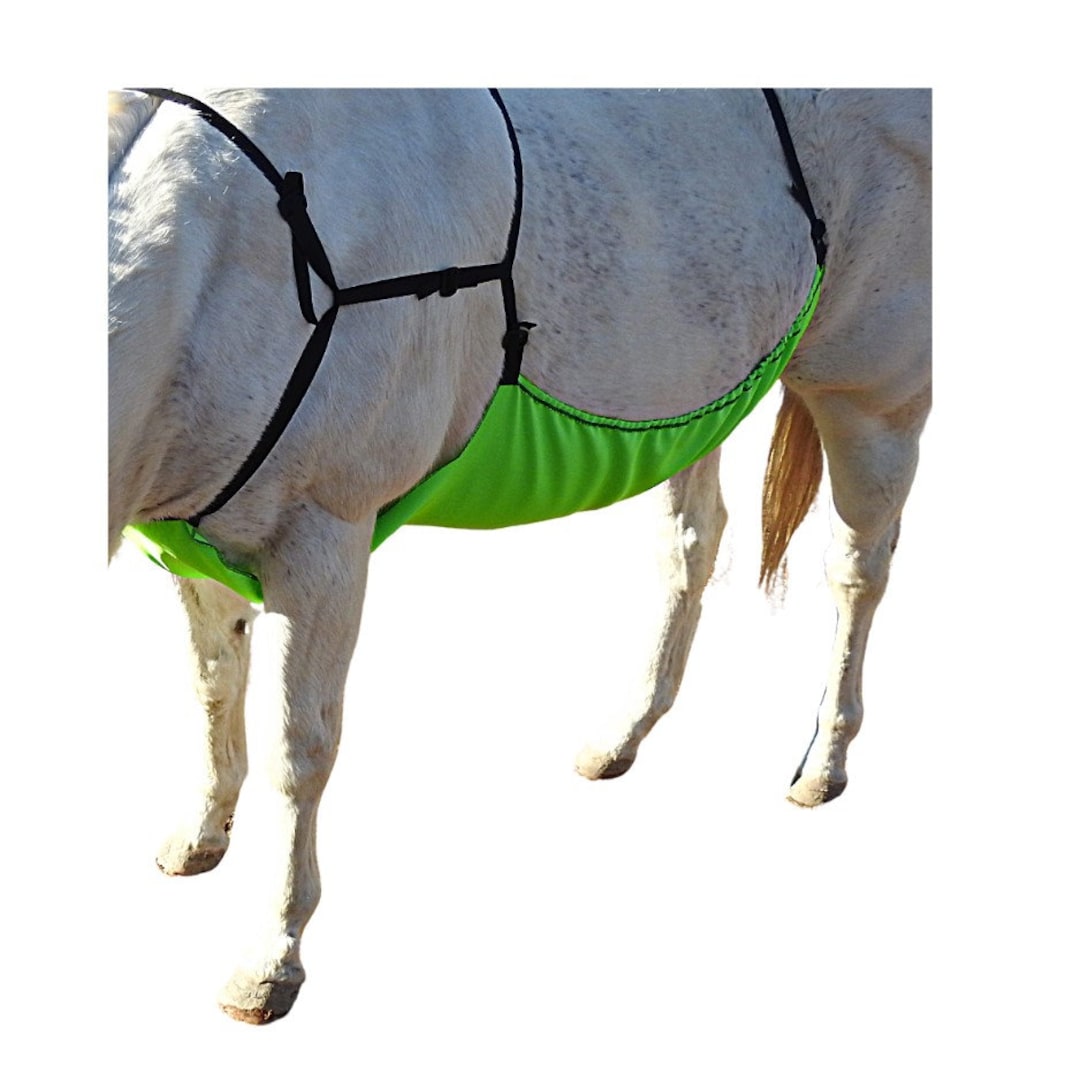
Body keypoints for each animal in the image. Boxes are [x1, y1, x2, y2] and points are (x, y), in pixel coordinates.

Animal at [108, 88, 931, 1023]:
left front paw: (270, 957)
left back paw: (823, 760)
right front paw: (201, 833)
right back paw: (624, 731)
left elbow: (299, 749)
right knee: (693, 546)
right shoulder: (194, 537)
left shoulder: (323, 540)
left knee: (858, 568)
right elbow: (213, 689)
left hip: (872, 391)